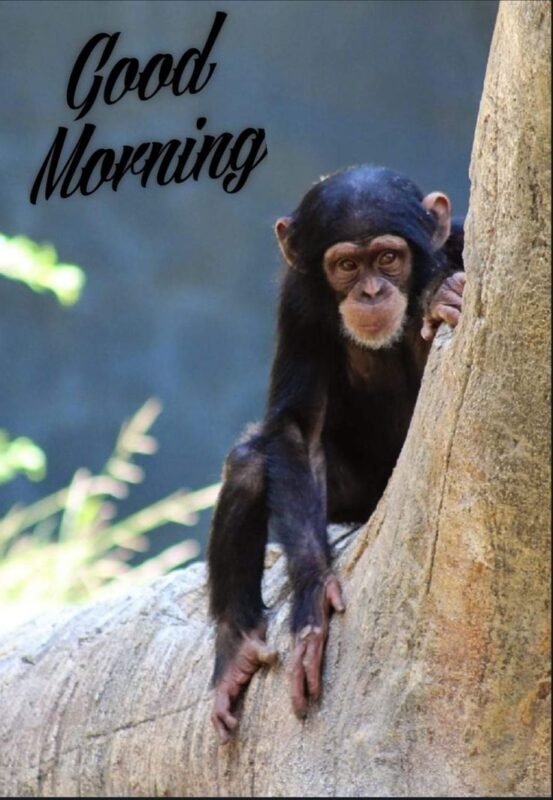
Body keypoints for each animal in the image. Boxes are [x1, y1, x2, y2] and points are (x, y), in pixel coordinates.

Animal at [207, 165, 465, 742]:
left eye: (388, 257)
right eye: (347, 265)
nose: (370, 291)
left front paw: (439, 295)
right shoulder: (298, 300)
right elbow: (297, 427)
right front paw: (312, 599)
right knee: (250, 462)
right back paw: (235, 648)